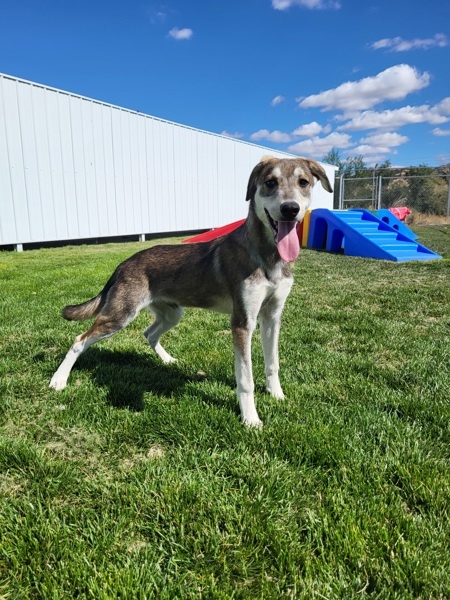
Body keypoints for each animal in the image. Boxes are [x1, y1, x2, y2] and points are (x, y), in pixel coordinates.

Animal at [49, 157, 332, 424]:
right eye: (270, 183)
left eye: (303, 182)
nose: (290, 209)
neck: (268, 256)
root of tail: (123, 264)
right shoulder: (242, 322)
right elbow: (245, 379)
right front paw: (250, 418)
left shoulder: (272, 316)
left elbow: (273, 363)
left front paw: (277, 396)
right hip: (120, 315)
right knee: (79, 339)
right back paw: (58, 380)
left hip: (172, 314)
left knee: (148, 333)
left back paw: (167, 360)